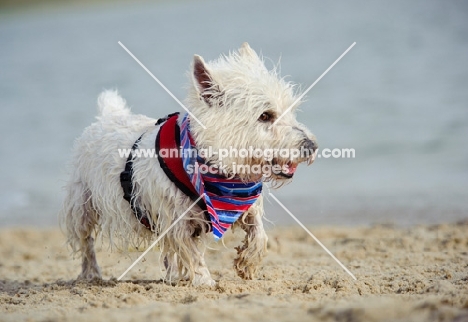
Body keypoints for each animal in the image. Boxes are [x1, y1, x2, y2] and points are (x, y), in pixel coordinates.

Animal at [60, 42, 316, 286]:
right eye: (265, 116)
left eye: (290, 110)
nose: (311, 146)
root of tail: (106, 116)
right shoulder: (175, 218)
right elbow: (191, 252)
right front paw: (205, 280)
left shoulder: (242, 203)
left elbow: (259, 232)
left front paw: (248, 262)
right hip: (82, 204)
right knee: (86, 241)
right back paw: (91, 273)